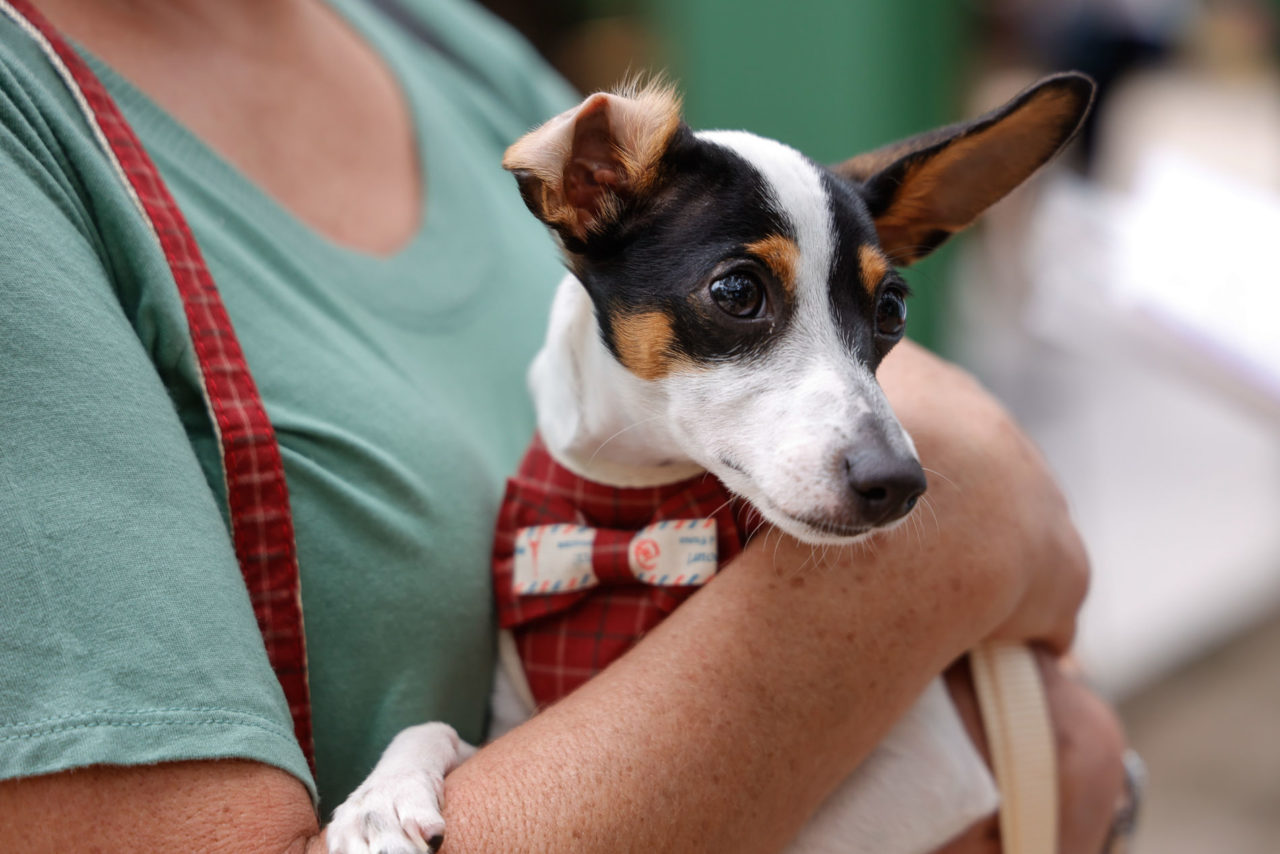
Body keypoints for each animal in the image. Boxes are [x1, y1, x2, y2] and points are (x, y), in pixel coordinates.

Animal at [327, 71, 1090, 854]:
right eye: (737, 292)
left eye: (892, 311)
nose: (900, 483)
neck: (631, 512)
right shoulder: (518, 711)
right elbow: (432, 728)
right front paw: (380, 797)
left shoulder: (937, 771)